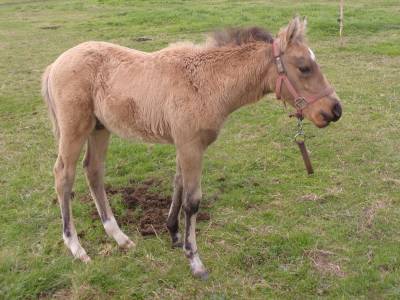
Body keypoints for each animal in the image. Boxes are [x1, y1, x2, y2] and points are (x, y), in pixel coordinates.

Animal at [43, 17, 340, 278]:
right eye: (304, 67)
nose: (335, 110)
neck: (207, 82)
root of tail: (54, 64)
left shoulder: (183, 144)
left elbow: (178, 184)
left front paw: (174, 234)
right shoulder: (191, 146)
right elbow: (192, 201)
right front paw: (194, 260)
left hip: (99, 128)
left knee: (93, 171)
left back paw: (120, 238)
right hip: (74, 129)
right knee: (64, 174)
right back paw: (76, 247)